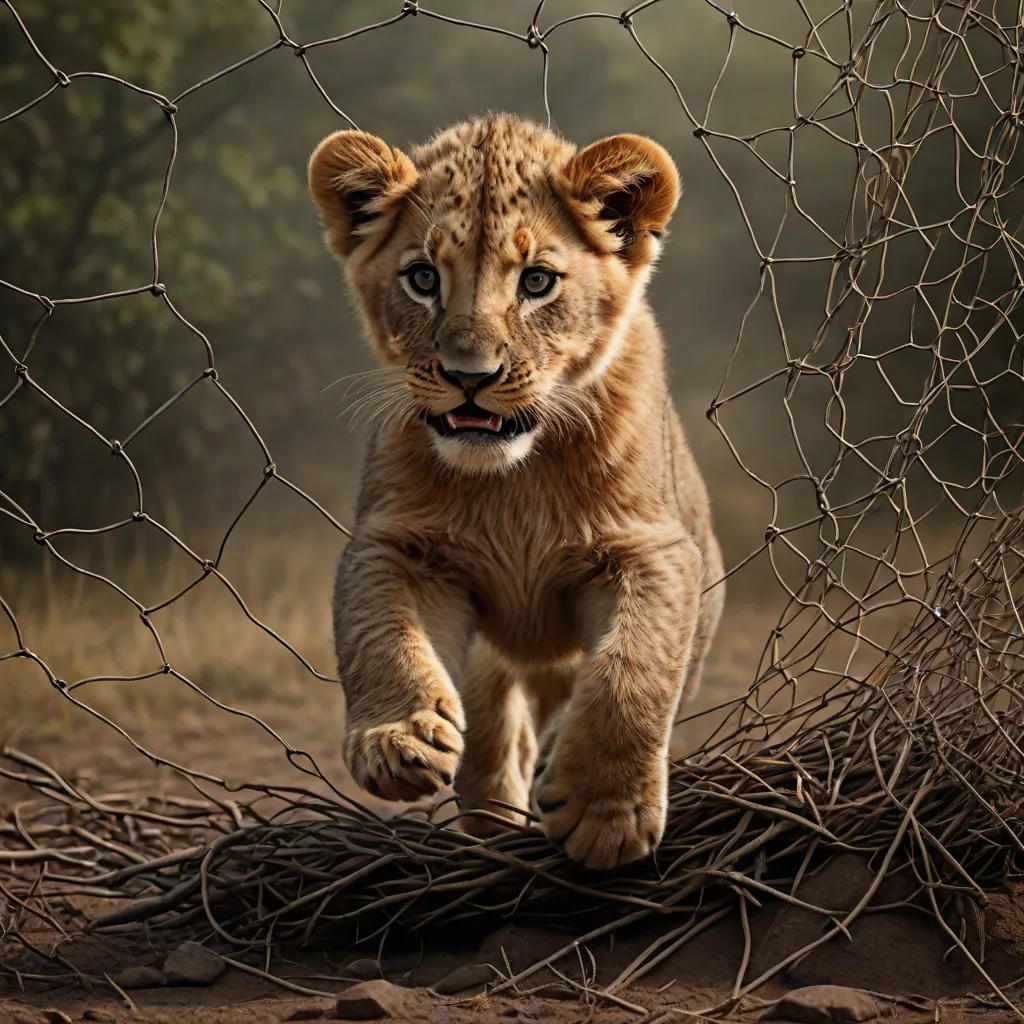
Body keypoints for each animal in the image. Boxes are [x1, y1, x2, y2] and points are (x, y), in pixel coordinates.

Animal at [308, 114, 724, 870]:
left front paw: (604, 813)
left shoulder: (657, 548)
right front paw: (397, 739)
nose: (469, 375)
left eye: (537, 281)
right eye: (422, 278)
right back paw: (494, 811)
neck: (515, 478)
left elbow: (635, 668)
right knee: (495, 722)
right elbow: (375, 628)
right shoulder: (398, 543)